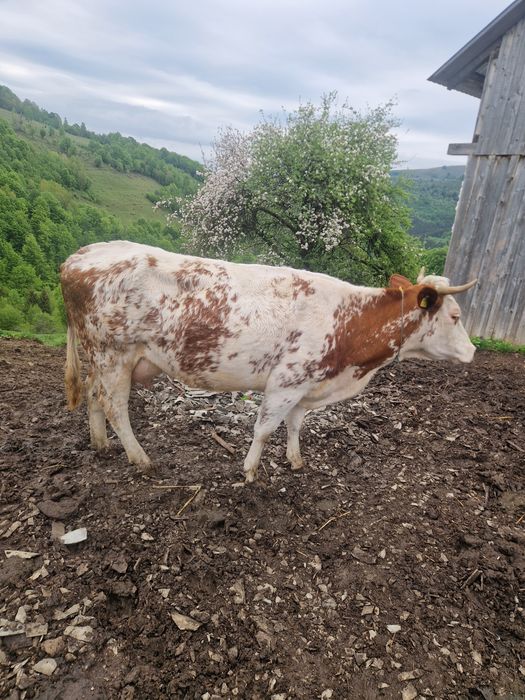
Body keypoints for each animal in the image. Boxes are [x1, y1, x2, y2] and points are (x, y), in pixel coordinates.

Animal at [60, 240, 476, 482]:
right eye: (455, 316)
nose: (473, 351)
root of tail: (79, 256)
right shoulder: (286, 381)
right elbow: (264, 428)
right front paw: (249, 471)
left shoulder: (307, 384)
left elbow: (294, 425)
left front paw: (295, 460)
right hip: (113, 354)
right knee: (115, 406)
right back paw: (141, 458)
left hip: (102, 358)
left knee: (95, 396)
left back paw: (101, 445)